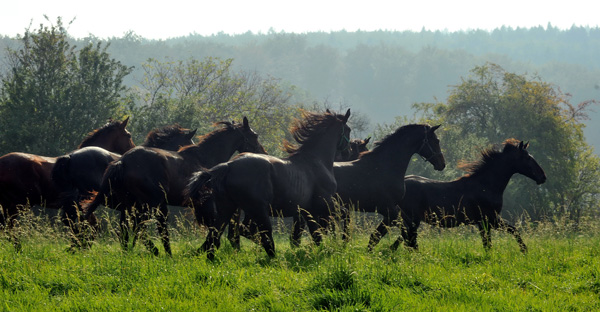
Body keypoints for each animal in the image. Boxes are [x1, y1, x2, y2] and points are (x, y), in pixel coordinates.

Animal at [83, 117, 266, 256]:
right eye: (255, 135)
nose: (263, 153)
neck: (205, 158)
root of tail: (122, 161)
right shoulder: (204, 204)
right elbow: (215, 227)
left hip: (136, 205)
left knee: (131, 228)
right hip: (151, 204)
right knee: (142, 227)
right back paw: (159, 252)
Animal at [189, 108, 352, 260]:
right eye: (349, 130)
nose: (348, 152)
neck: (316, 160)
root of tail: (229, 165)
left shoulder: (308, 210)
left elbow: (317, 234)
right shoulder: (325, 203)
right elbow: (344, 214)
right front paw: (343, 241)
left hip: (228, 208)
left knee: (215, 236)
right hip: (258, 210)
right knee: (262, 237)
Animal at [396, 139, 548, 254]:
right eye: (527, 157)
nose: (543, 177)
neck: (486, 185)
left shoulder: (485, 222)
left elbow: (489, 242)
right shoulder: (490, 219)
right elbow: (511, 231)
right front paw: (524, 251)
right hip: (412, 221)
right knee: (409, 242)